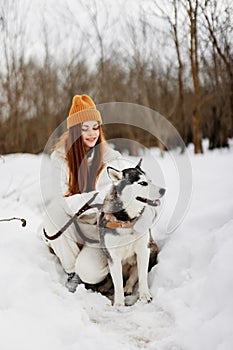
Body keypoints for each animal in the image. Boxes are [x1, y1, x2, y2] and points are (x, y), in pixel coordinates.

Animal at [99, 159, 166, 306]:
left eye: (150, 180)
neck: (127, 222)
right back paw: (106, 286)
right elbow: (117, 283)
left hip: (152, 249)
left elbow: (142, 276)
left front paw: (145, 295)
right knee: (112, 279)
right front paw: (119, 303)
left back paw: (128, 288)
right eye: (143, 183)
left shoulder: (143, 250)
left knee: (132, 277)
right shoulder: (113, 256)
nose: (163, 190)